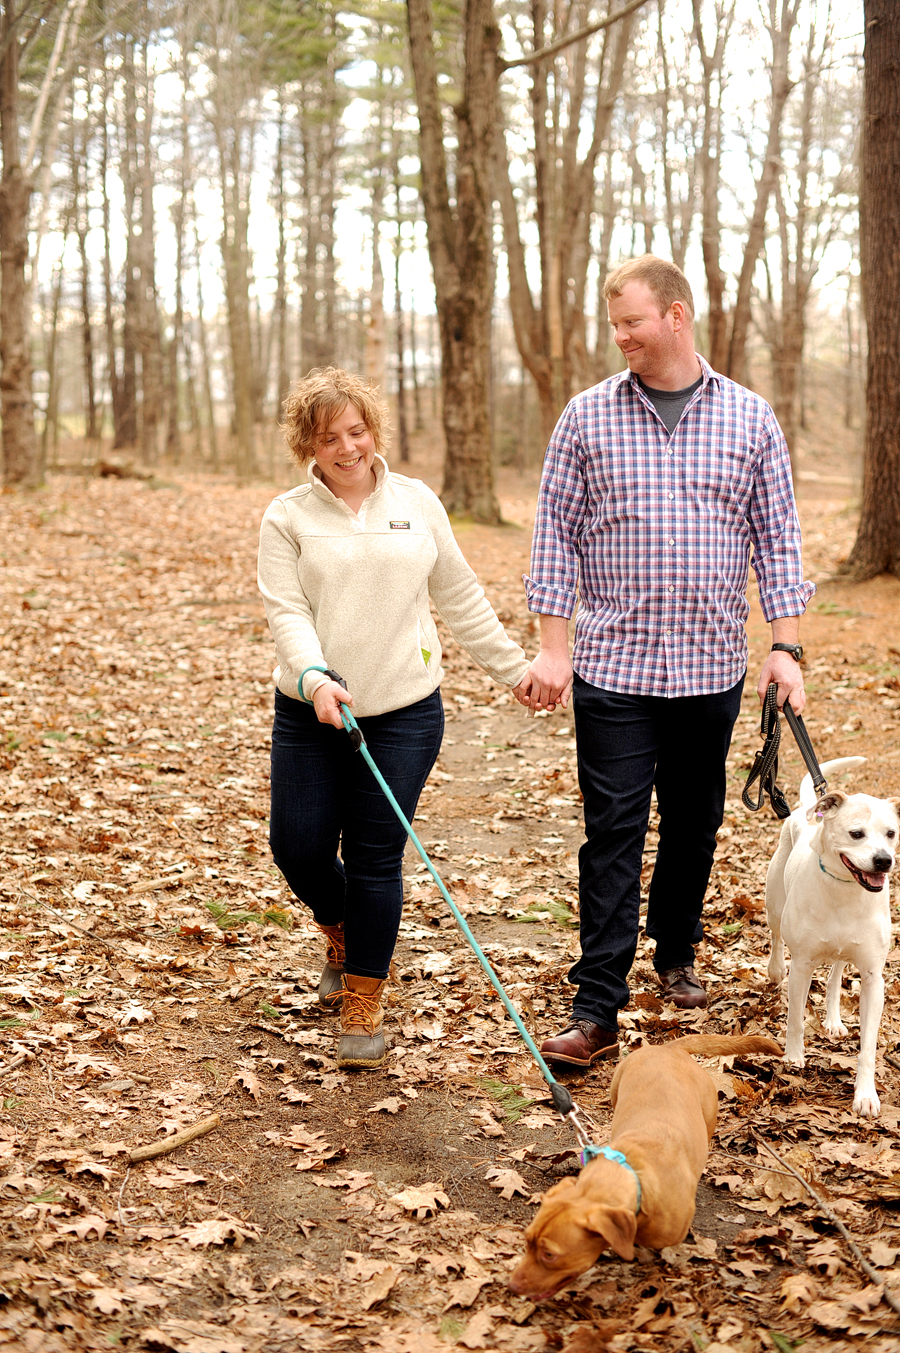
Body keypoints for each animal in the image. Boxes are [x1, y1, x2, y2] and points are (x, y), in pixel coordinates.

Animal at [763, 757, 898, 1114]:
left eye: (891, 833)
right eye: (856, 834)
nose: (884, 860)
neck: (845, 890)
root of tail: (807, 809)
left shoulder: (873, 977)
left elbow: (868, 1046)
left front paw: (866, 1095)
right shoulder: (802, 964)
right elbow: (795, 1020)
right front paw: (794, 1058)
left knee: (836, 973)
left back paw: (834, 1019)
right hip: (775, 904)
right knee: (776, 936)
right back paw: (774, 971)